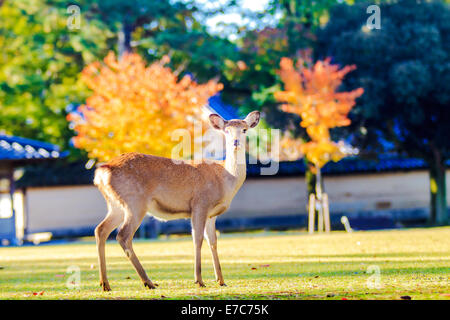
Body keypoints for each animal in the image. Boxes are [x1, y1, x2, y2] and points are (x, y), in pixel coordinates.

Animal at [93, 111, 260, 292]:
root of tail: (101, 173)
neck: (225, 179)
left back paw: (105, 283)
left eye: (244, 130)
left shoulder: (212, 214)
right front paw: (199, 280)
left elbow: (213, 241)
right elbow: (197, 239)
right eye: (226, 131)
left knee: (100, 229)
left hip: (116, 205)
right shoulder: (200, 204)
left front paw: (221, 280)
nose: (236, 142)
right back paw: (148, 282)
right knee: (123, 235)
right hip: (135, 202)